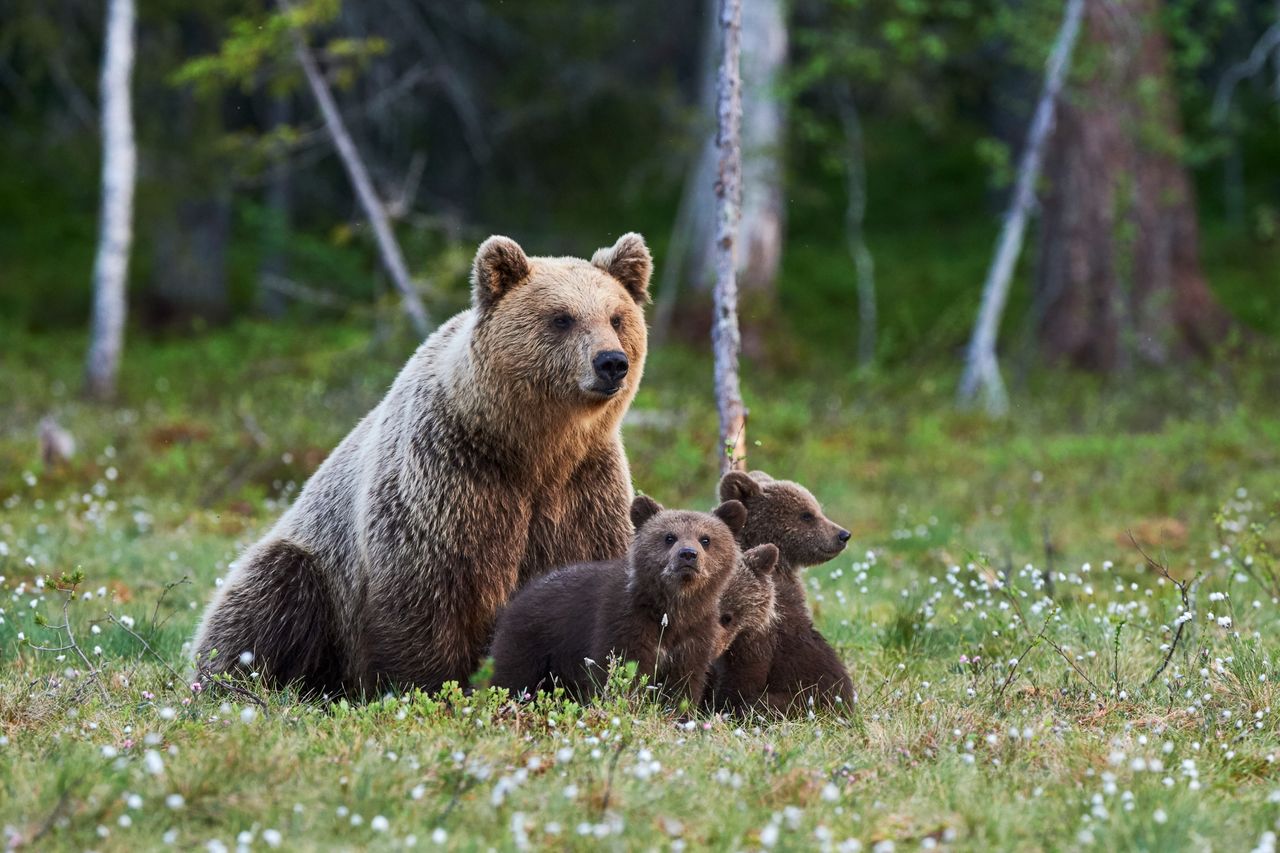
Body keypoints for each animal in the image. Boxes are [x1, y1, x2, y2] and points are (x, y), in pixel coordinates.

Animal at [194, 229, 655, 696]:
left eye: (616, 317)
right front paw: (429, 687)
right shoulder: (448, 480)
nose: (611, 362)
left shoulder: (584, 490)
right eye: (561, 318)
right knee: (267, 596)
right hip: (315, 568)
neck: (533, 450)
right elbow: (426, 597)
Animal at [483, 491, 752, 701]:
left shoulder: (694, 636)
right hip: (532, 641)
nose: (688, 555)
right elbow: (619, 674)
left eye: (706, 539)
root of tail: (521, 594)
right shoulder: (623, 624)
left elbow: (682, 686)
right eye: (669, 537)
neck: (673, 608)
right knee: (510, 677)